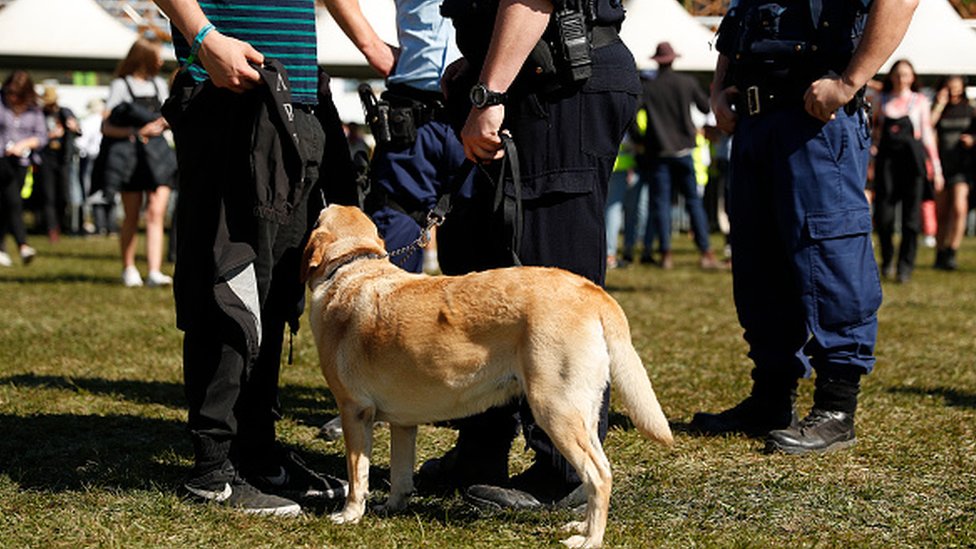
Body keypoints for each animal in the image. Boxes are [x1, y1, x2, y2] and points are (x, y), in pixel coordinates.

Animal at [304, 203, 672, 544]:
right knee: (598, 472)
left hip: (555, 409)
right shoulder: (403, 422)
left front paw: (349, 514)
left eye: (319, 215)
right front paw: (392, 507)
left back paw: (590, 539)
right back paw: (580, 526)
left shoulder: (354, 411)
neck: (352, 266)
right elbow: (400, 474)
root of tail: (592, 291)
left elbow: (357, 474)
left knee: (599, 474)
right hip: (582, 411)